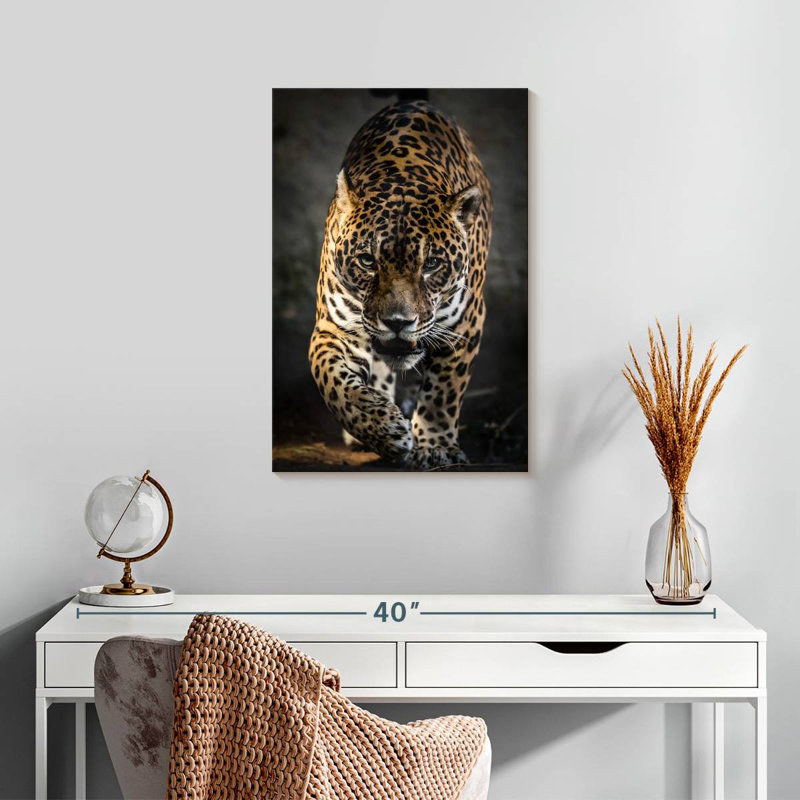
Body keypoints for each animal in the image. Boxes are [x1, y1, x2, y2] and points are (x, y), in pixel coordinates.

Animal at [308, 100, 492, 469]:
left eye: (431, 264)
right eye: (367, 261)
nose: (397, 323)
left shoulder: (465, 324)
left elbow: (444, 391)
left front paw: (436, 447)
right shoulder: (333, 328)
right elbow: (333, 381)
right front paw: (383, 429)